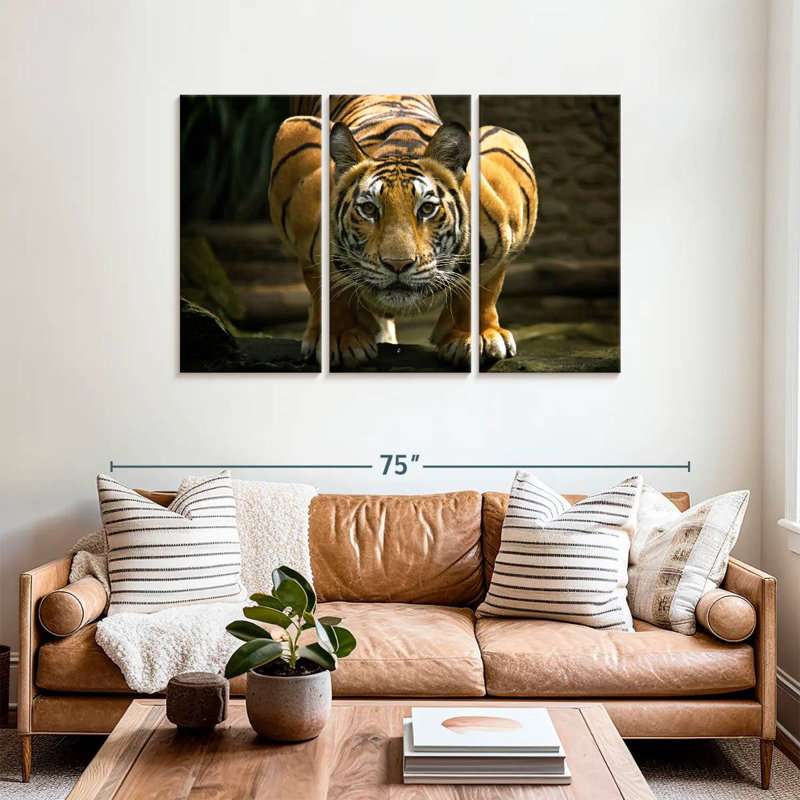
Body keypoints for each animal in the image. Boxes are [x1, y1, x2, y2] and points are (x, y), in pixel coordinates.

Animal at [268, 95, 537, 368]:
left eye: (427, 208)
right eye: (369, 209)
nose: (398, 264)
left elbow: (484, 285)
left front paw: (476, 335)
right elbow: (329, 286)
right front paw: (342, 337)